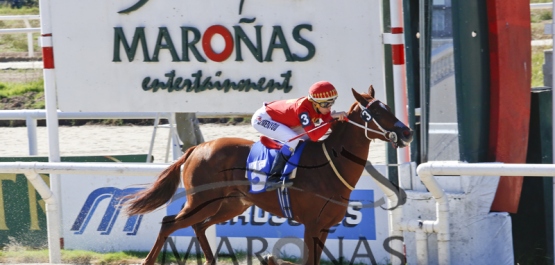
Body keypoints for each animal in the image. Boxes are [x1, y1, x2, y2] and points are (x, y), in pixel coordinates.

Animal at [126, 85, 412, 262]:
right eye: (376, 112)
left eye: (389, 107)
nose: (407, 132)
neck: (330, 166)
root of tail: (196, 148)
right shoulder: (312, 224)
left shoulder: (325, 227)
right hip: (201, 201)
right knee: (169, 224)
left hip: (230, 204)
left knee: (199, 226)